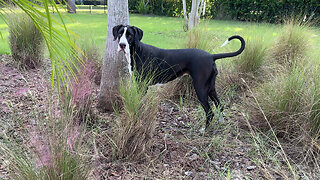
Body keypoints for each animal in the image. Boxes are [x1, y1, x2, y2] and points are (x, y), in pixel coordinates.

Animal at [112, 24, 245, 129]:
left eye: (130, 35)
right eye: (120, 33)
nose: (122, 45)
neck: (137, 51)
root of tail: (211, 56)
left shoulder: (142, 85)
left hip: (200, 88)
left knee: (209, 111)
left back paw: (205, 130)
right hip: (211, 88)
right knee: (220, 105)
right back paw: (220, 122)